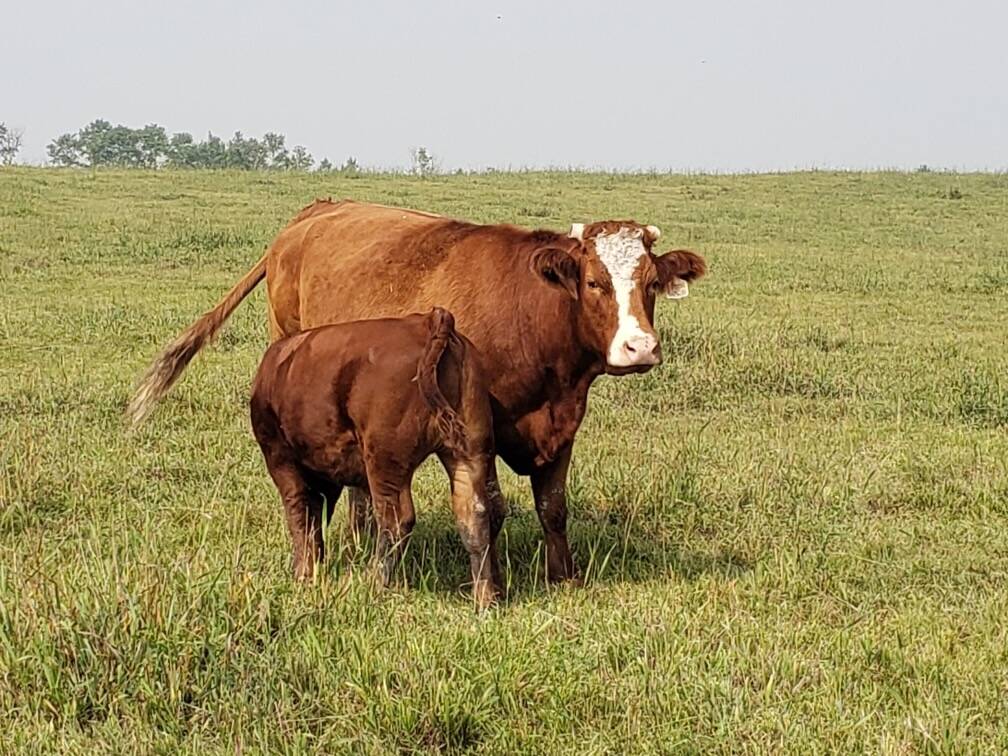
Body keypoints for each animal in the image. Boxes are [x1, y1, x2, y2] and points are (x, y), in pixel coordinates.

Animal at [250, 308, 503, 608]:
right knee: (475, 513)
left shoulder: (280, 458)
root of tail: (428, 320)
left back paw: (373, 582)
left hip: (385, 460)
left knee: (396, 519)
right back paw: (485, 598)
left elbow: (300, 514)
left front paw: (303, 573)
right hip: (468, 450)